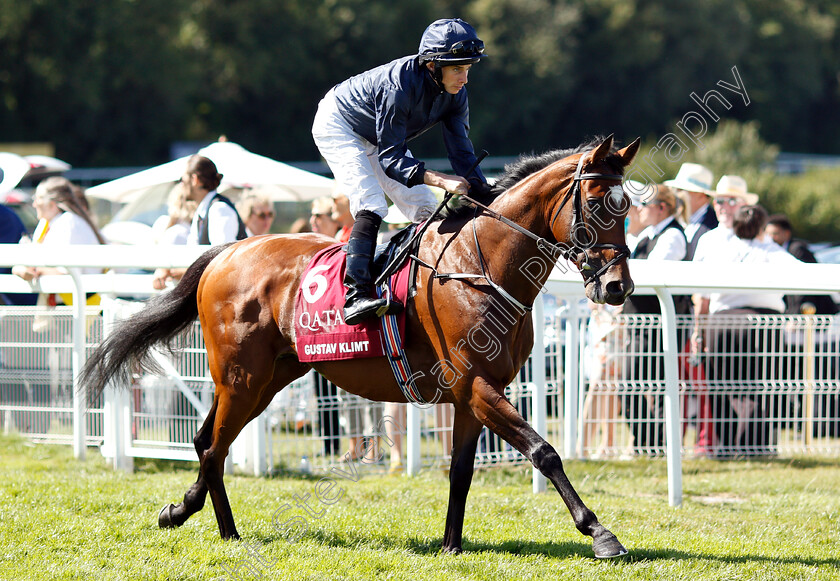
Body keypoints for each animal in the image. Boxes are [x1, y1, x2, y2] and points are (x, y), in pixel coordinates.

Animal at [82, 135, 640, 556]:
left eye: (629, 206)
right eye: (597, 203)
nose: (617, 287)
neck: (479, 265)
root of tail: (227, 250)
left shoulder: (473, 394)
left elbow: (461, 471)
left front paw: (451, 544)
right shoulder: (477, 385)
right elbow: (544, 452)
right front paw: (600, 532)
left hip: (266, 380)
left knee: (205, 443)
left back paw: (198, 518)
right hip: (242, 379)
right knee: (214, 447)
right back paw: (212, 525)